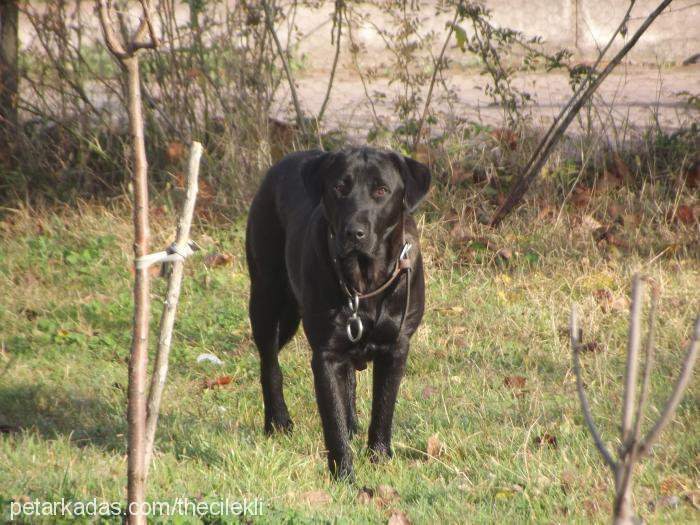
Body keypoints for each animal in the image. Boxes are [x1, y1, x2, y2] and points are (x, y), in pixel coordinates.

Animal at [246, 147, 432, 478]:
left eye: (381, 190)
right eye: (339, 187)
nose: (354, 232)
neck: (364, 281)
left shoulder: (396, 347)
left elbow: (383, 407)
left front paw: (379, 457)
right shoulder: (325, 354)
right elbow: (332, 420)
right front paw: (344, 473)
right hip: (269, 300)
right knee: (269, 364)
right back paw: (278, 422)